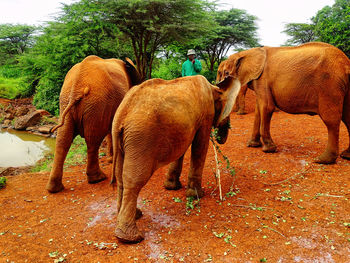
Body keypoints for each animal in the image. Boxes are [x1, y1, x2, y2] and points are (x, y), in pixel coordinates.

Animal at [46, 54, 141, 194]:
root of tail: (77, 85)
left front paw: (110, 159)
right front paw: (111, 160)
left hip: (67, 102)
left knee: (63, 140)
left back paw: (54, 189)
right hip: (98, 104)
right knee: (93, 140)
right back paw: (98, 179)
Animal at [110, 75, 241, 243]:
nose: (221, 138)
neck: (214, 88)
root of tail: (122, 113)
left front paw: (172, 187)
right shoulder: (206, 115)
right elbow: (199, 146)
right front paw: (197, 195)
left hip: (124, 140)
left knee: (120, 178)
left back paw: (136, 216)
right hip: (141, 138)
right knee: (134, 180)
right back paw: (131, 238)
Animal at [216, 41, 350, 165]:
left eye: (226, 73)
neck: (245, 53)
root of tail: (347, 63)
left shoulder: (263, 79)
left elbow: (266, 107)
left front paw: (268, 150)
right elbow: (259, 110)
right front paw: (252, 145)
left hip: (329, 83)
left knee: (331, 120)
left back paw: (323, 160)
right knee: (347, 117)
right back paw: (346, 156)